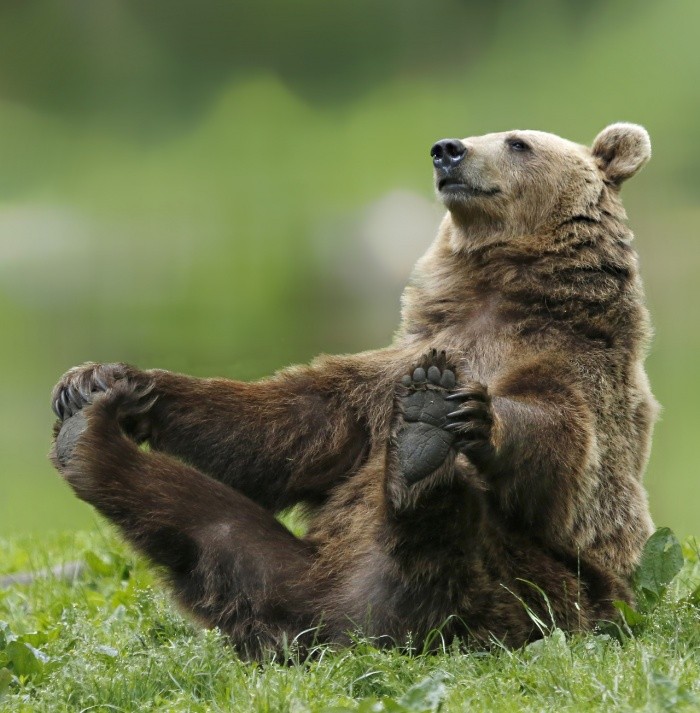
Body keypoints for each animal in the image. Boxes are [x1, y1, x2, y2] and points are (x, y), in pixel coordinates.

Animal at [49, 121, 656, 656]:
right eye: (484, 133)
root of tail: (347, 628)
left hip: (539, 595)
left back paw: (421, 454)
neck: (496, 300)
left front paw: (456, 407)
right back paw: (87, 438)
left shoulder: (576, 366)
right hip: (287, 574)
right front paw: (103, 379)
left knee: (462, 541)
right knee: (205, 524)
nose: (448, 150)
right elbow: (286, 426)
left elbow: (559, 440)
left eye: (518, 142)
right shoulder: (388, 373)